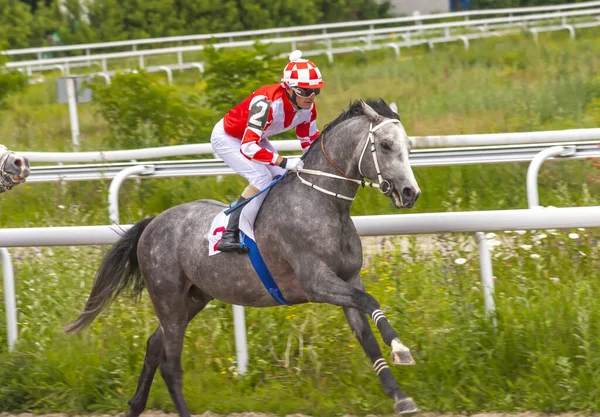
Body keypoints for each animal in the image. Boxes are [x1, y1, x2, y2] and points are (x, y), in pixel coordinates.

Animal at [64, 99, 422, 414]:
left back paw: (136, 406)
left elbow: (367, 335)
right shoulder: (317, 282)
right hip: (167, 297)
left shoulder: (348, 279)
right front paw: (401, 349)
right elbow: (371, 302)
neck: (323, 202)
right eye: (386, 145)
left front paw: (401, 397)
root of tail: (152, 223)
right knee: (170, 364)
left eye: (408, 146)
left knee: (154, 345)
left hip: (193, 297)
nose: (411, 193)